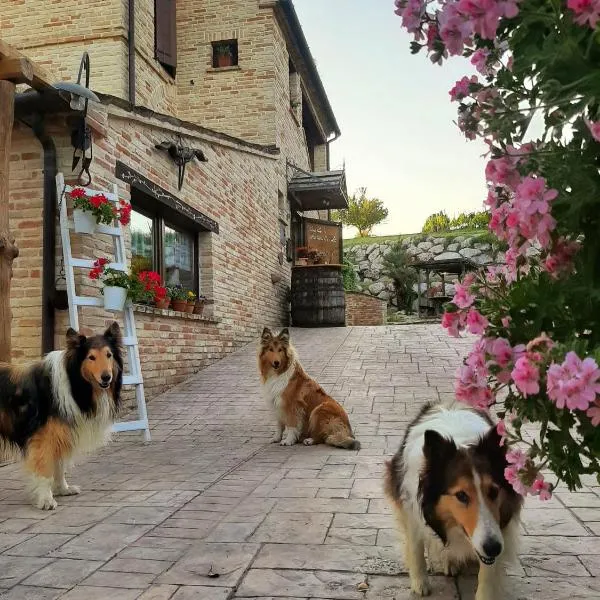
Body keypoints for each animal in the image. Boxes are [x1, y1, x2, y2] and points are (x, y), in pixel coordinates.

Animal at [0, 324, 123, 510]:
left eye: (109, 355)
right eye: (91, 357)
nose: (106, 377)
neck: (73, 383)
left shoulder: (60, 433)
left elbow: (59, 465)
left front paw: (62, 489)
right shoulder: (43, 438)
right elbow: (45, 469)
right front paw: (46, 500)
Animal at [384, 404, 520, 600]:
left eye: (494, 491)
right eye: (461, 495)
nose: (494, 548)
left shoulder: (498, 531)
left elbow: (488, 573)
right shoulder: (411, 509)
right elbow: (416, 549)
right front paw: (420, 584)